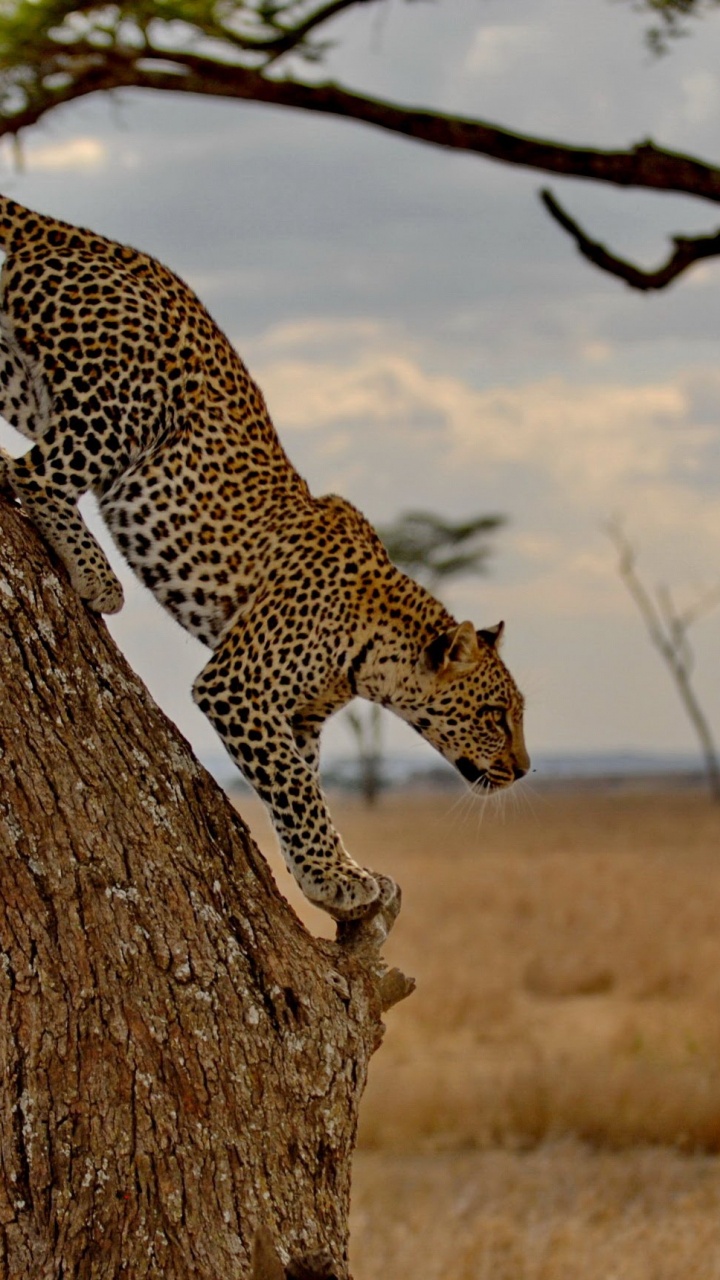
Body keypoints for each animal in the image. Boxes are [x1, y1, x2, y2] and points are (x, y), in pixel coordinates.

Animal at [0, 194, 529, 921]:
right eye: (495, 717)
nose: (525, 770)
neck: (374, 653)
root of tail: (84, 236)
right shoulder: (239, 688)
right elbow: (298, 795)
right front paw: (338, 880)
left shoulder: (298, 718)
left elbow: (304, 793)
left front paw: (327, 875)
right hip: (125, 400)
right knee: (30, 473)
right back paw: (97, 575)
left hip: (24, 379)